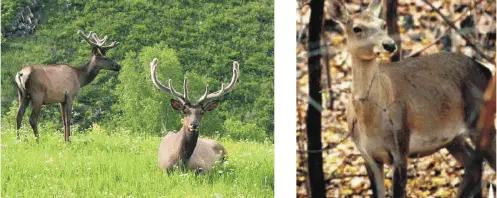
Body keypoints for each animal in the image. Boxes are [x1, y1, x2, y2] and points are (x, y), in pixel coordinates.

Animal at [328, 0, 494, 197]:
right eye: (357, 28)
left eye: (383, 24)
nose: (389, 44)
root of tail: (487, 71)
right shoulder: (367, 155)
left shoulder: (401, 146)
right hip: (452, 138)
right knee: (474, 166)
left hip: (480, 120)